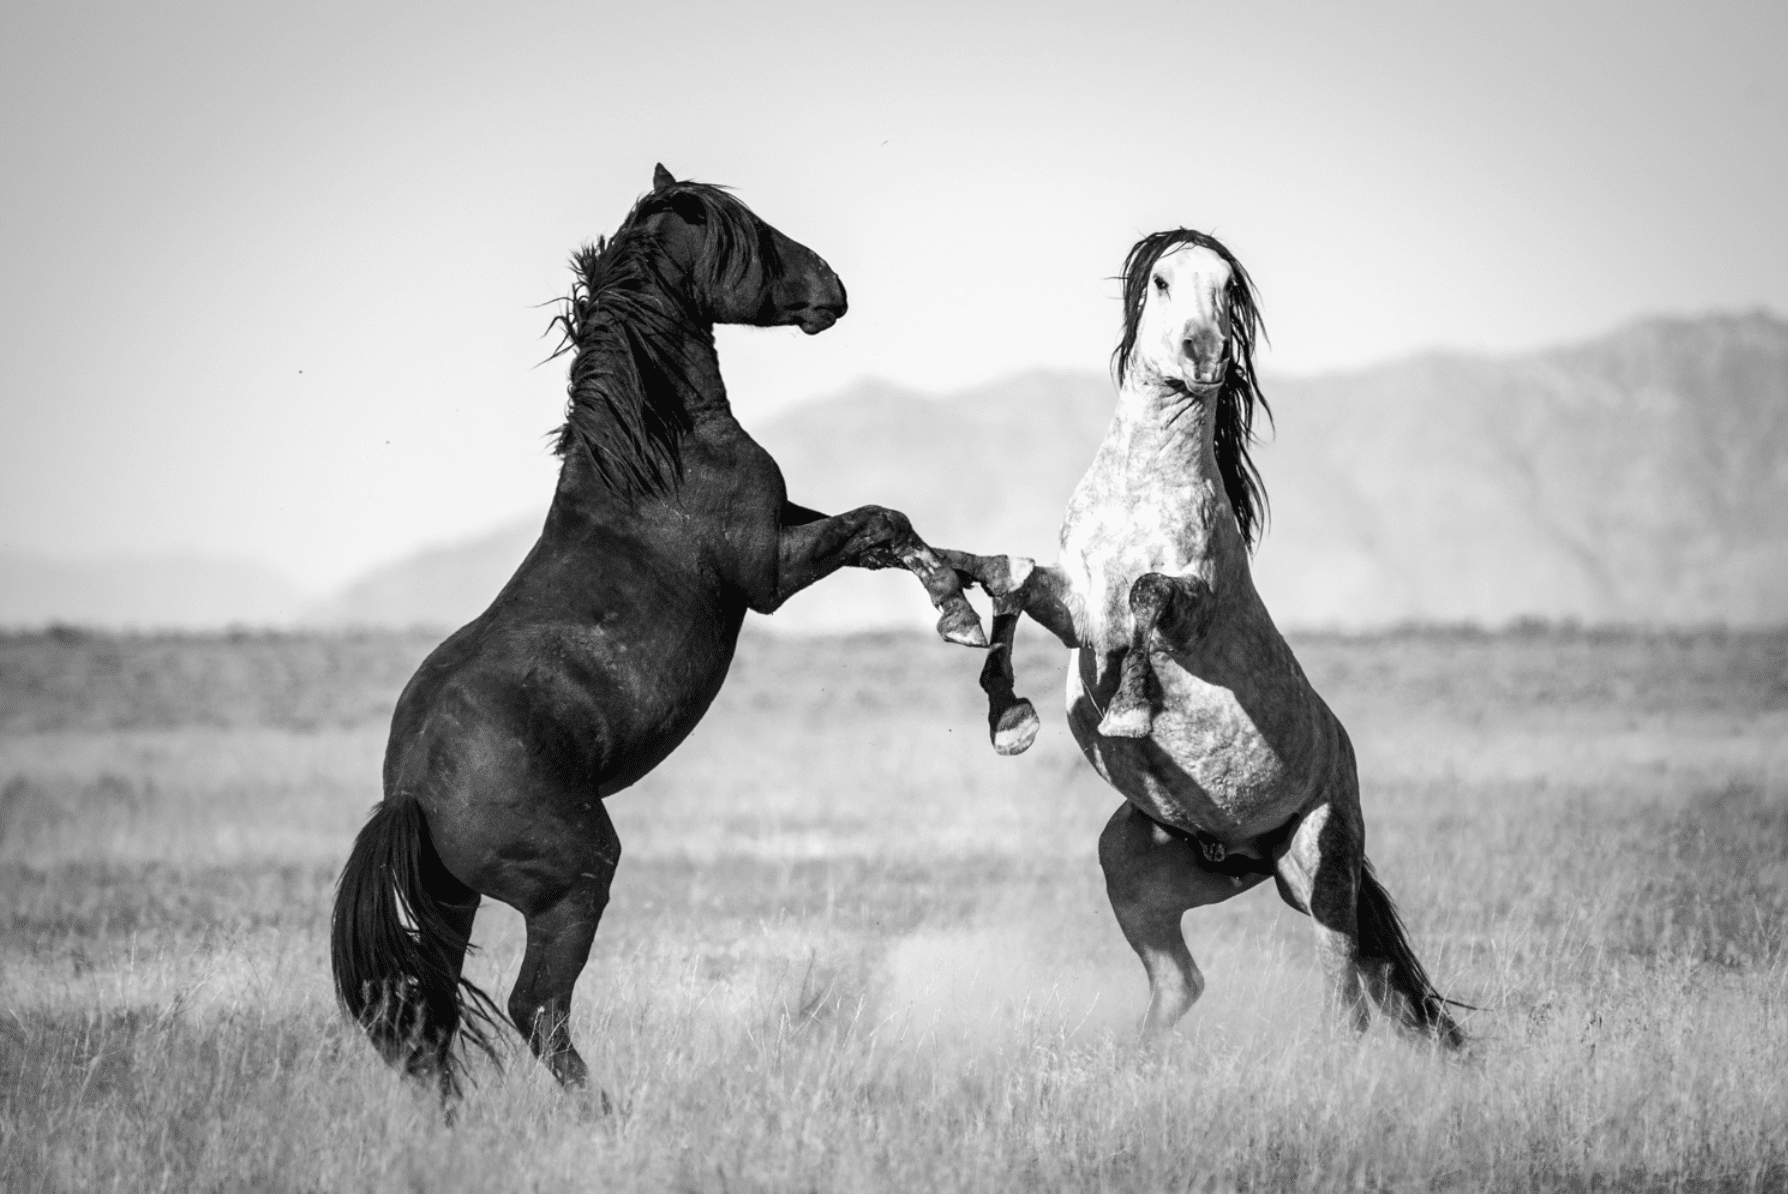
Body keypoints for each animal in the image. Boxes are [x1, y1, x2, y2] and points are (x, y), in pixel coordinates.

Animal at [328, 163, 986, 1093]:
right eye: (749, 234)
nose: (833, 288)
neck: (657, 463)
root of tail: (409, 789)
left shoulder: (785, 520)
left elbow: (887, 532)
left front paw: (972, 588)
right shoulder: (769, 573)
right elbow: (880, 523)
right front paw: (961, 617)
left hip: (453, 903)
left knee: (432, 1014)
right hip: (574, 882)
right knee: (537, 1008)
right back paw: (602, 1109)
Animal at [944, 230, 1459, 1043]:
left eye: (1230, 288)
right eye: (1159, 280)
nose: (1206, 351)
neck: (1139, 491)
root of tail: (1246, 853)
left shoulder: (1184, 605)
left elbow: (1147, 596)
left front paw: (1128, 708)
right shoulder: (1075, 609)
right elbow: (1007, 577)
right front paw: (1006, 714)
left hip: (1319, 867)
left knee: (1345, 999)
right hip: (1136, 866)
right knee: (1183, 984)